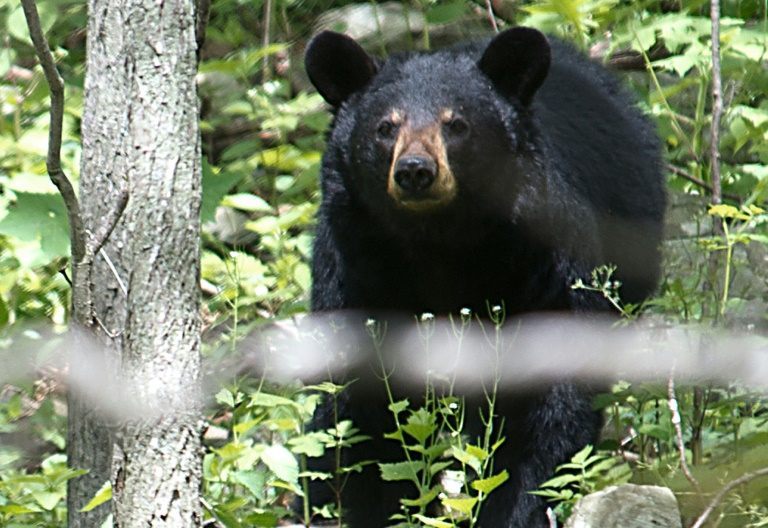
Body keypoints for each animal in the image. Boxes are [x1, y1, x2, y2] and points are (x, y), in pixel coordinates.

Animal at [303, 27, 665, 527]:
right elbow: (359, 411)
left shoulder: (545, 264)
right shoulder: (356, 271)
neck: (439, 243)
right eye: (385, 127)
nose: (415, 170)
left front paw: (510, 507)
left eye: (456, 124)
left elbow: (544, 403)